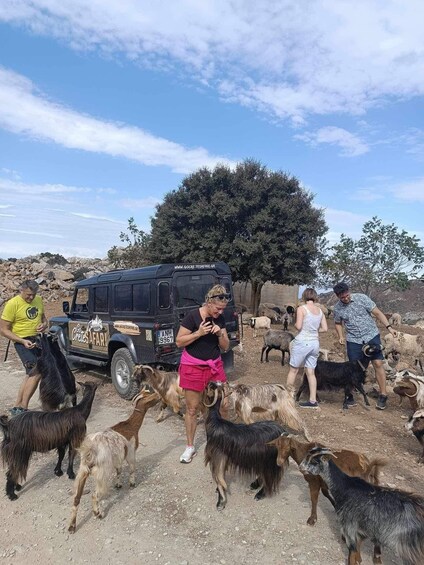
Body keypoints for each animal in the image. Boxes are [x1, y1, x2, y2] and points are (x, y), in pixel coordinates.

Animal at [68, 386, 160, 532]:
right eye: (152, 397)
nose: (161, 396)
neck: (131, 425)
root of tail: (90, 451)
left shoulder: (118, 457)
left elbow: (119, 470)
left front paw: (118, 484)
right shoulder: (131, 452)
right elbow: (132, 468)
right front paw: (132, 483)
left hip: (82, 471)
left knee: (77, 498)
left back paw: (72, 526)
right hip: (102, 473)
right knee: (95, 495)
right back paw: (98, 513)